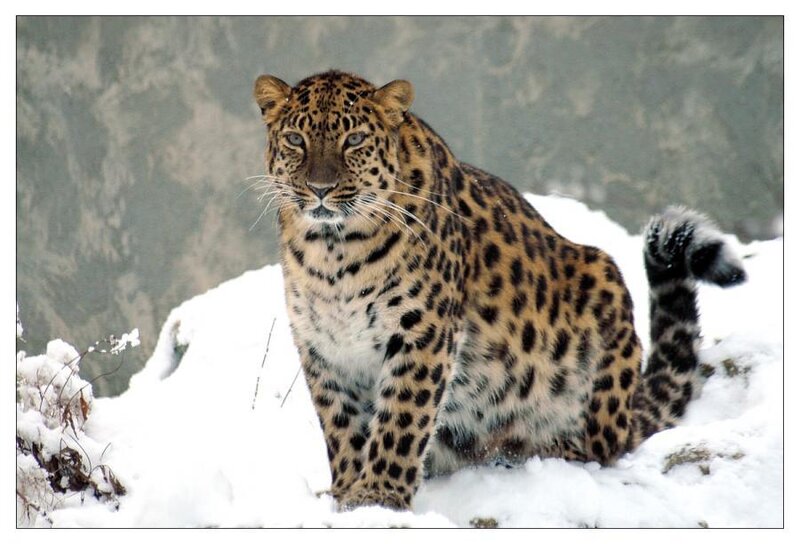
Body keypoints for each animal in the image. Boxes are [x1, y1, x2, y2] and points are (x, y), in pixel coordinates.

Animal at [252, 70, 746, 512]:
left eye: (354, 140)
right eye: (295, 139)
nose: (319, 188)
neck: (332, 252)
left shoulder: (421, 333)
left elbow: (400, 420)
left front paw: (379, 497)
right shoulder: (324, 347)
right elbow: (342, 428)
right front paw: (348, 495)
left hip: (602, 282)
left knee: (602, 447)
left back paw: (540, 449)